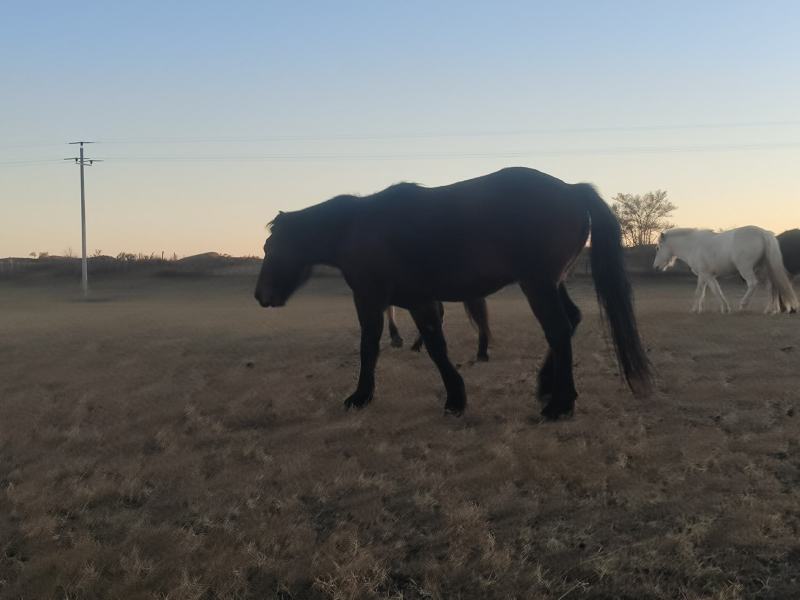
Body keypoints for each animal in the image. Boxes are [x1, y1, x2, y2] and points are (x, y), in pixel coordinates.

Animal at [255, 167, 651, 420]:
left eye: (271, 248)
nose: (261, 295)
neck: (356, 228)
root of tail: (571, 189)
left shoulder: (375, 299)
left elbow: (377, 347)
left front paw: (362, 397)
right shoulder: (419, 301)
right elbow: (434, 346)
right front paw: (456, 397)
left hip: (537, 284)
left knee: (557, 329)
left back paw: (560, 405)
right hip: (551, 282)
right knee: (570, 320)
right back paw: (546, 387)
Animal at [653, 226, 798, 314]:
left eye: (658, 248)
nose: (655, 267)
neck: (694, 245)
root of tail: (763, 233)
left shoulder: (704, 274)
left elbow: (702, 292)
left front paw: (694, 309)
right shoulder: (708, 276)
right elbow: (712, 291)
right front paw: (722, 308)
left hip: (746, 268)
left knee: (753, 284)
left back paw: (743, 304)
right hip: (762, 269)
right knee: (771, 286)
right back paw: (770, 310)